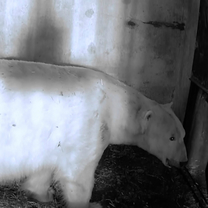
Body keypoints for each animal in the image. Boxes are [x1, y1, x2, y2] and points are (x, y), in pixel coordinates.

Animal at [0, 60, 187, 208]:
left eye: (183, 135)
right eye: (171, 137)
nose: (184, 161)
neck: (114, 107)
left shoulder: (52, 141)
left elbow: (45, 166)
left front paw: (44, 194)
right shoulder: (90, 128)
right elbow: (78, 176)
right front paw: (94, 204)